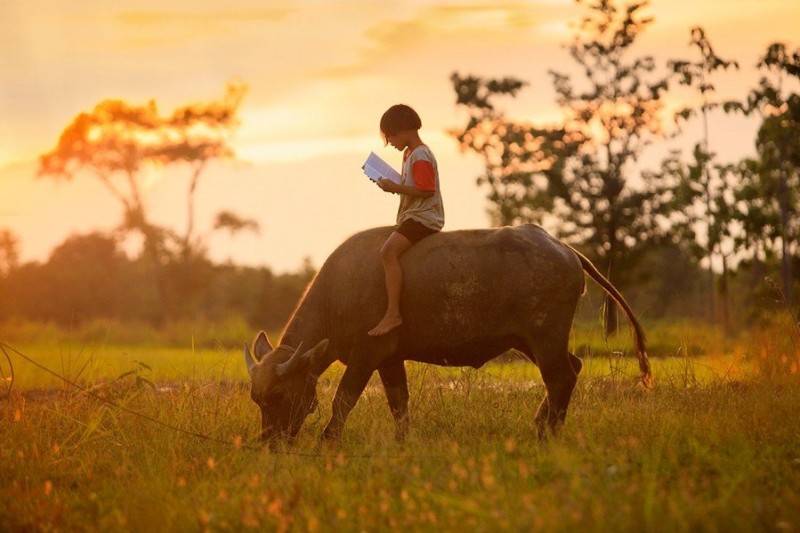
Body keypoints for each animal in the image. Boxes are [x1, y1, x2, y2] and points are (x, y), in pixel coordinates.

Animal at [244, 222, 648, 442]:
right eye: (256, 399)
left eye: (279, 395)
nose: (269, 442)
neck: (338, 292)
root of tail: (565, 249)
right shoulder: (390, 359)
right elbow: (399, 405)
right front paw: (402, 442)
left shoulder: (366, 357)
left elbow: (343, 400)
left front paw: (328, 441)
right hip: (531, 341)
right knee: (572, 368)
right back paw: (540, 425)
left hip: (544, 337)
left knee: (561, 376)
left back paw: (546, 435)